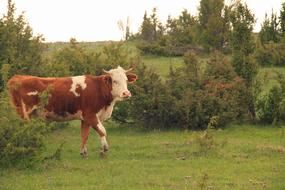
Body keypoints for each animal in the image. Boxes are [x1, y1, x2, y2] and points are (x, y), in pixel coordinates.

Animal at [8, 66, 138, 157]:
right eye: (115, 81)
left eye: (126, 80)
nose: (126, 93)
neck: (98, 89)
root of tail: (17, 77)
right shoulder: (90, 114)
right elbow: (102, 131)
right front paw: (104, 149)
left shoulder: (85, 118)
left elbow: (84, 134)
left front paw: (83, 152)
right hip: (24, 112)